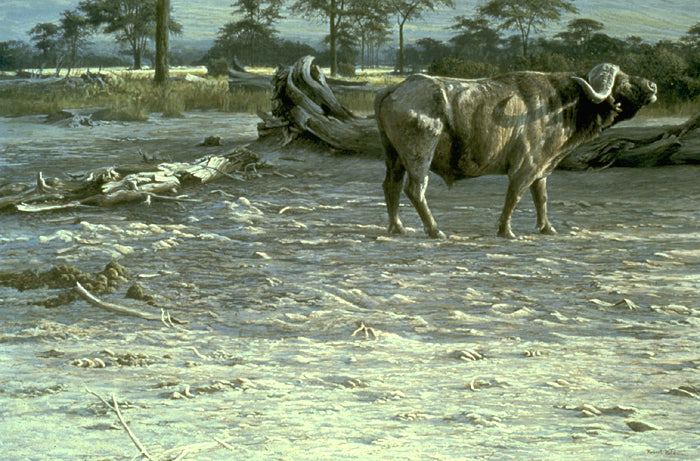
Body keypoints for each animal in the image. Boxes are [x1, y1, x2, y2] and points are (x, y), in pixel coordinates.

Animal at [375, 64, 657, 239]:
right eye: (624, 80)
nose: (653, 86)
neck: (560, 103)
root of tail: (394, 89)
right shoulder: (525, 167)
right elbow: (514, 196)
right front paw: (506, 230)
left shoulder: (542, 169)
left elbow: (541, 198)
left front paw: (546, 228)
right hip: (419, 154)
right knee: (415, 189)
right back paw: (435, 230)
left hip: (394, 157)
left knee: (391, 186)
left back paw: (397, 227)